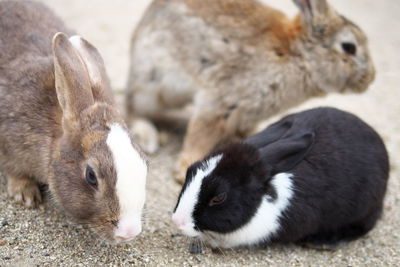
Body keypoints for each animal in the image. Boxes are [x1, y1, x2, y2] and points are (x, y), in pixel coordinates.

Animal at [125, 0, 376, 183]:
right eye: (349, 47)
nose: (370, 79)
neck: (298, 56)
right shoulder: (221, 101)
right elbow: (201, 134)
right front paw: (184, 170)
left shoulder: (247, 113)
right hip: (154, 86)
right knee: (134, 107)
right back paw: (149, 136)